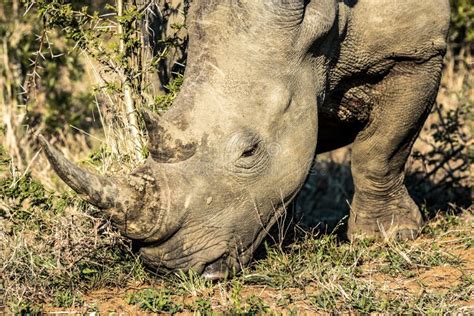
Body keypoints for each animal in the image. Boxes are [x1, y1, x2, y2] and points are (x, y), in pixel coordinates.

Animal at [39, 0, 448, 278]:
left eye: (249, 151)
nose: (165, 266)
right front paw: (280, 237)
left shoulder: (416, 52)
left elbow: (381, 150)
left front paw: (387, 237)